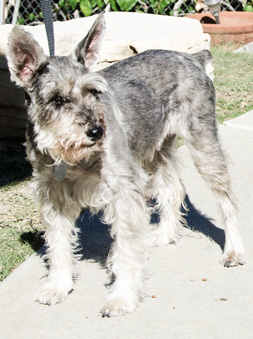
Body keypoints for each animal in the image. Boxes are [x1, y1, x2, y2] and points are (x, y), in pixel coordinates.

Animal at [6, 12, 245, 316]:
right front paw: (58, 286)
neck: (72, 159)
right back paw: (164, 235)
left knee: (226, 198)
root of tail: (191, 57)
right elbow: (58, 244)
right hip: (153, 151)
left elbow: (125, 251)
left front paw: (122, 297)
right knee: (172, 188)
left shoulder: (123, 193)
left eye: (93, 92)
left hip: (202, 144)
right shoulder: (53, 196)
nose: (96, 131)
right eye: (57, 100)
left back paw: (233, 250)